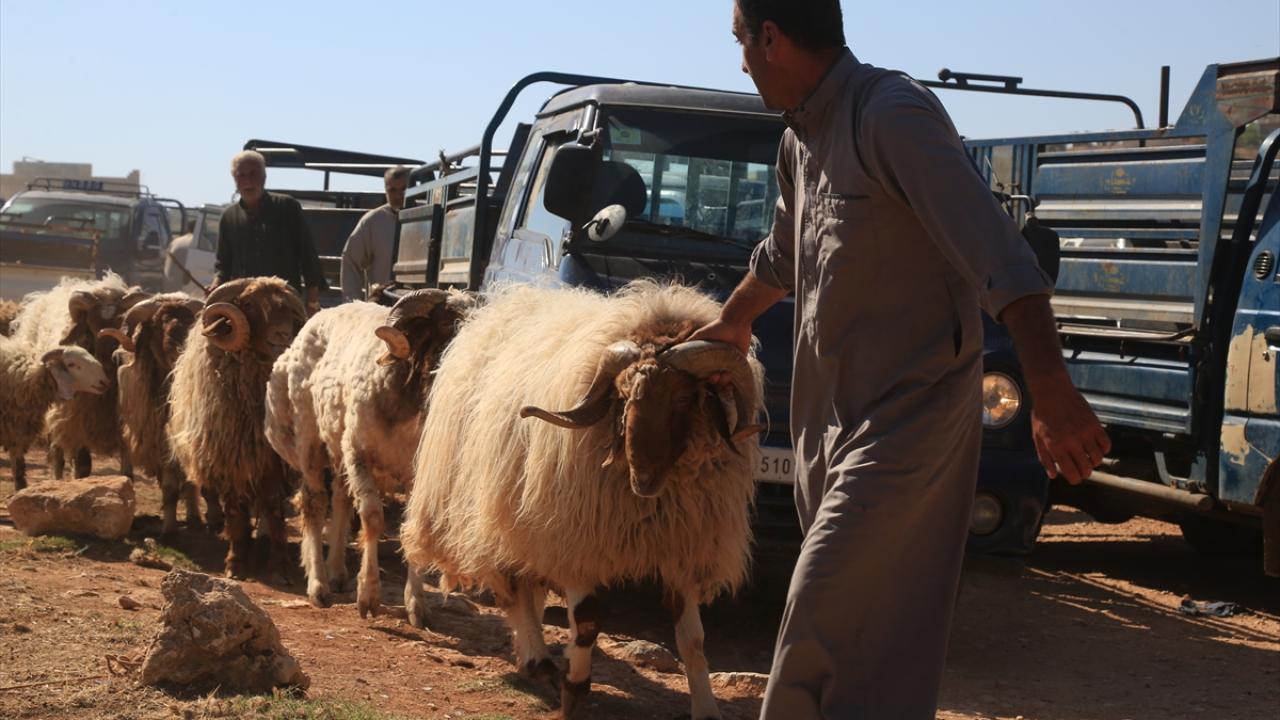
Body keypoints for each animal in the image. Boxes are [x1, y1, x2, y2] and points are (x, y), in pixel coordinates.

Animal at [10, 273, 146, 479]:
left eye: (120, 323)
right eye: (90, 324)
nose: (107, 362)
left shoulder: (125, 428)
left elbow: (127, 472)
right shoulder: (76, 422)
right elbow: (82, 467)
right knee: (57, 457)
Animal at [99, 293, 216, 536]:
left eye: (190, 320)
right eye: (159, 321)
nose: (177, 345)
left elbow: (192, 482)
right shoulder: (162, 443)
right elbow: (170, 489)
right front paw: (169, 529)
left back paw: (195, 516)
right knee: (128, 468)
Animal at [167, 276, 306, 581]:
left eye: (289, 309)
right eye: (250, 304)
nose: (281, 335)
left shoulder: (271, 463)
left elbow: (273, 510)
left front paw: (280, 566)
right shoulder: (229, 461)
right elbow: (235, 513)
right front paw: (236, 563)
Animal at [265, 289, 473, 618]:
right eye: (450, 324)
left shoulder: (415, 472)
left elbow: (410, 528)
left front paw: (416, 603)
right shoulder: (358, 452)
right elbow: (373, 518)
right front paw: (369, 596)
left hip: (337, 446)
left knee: (340, 496)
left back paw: (337, 571)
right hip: (310, 440)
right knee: (314, 503)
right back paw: (318, 587)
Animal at [400, 281, 765, 720]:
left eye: (683, 398)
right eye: (622, 397)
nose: (642, 477)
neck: (648, 503)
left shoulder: (681, 546)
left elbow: (692, 638)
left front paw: (706, 707)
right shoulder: (575, 540)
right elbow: (588, 623)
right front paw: (574, 691)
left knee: (527, 587)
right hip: (497, 514)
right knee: (514, 590)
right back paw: (538, 660)